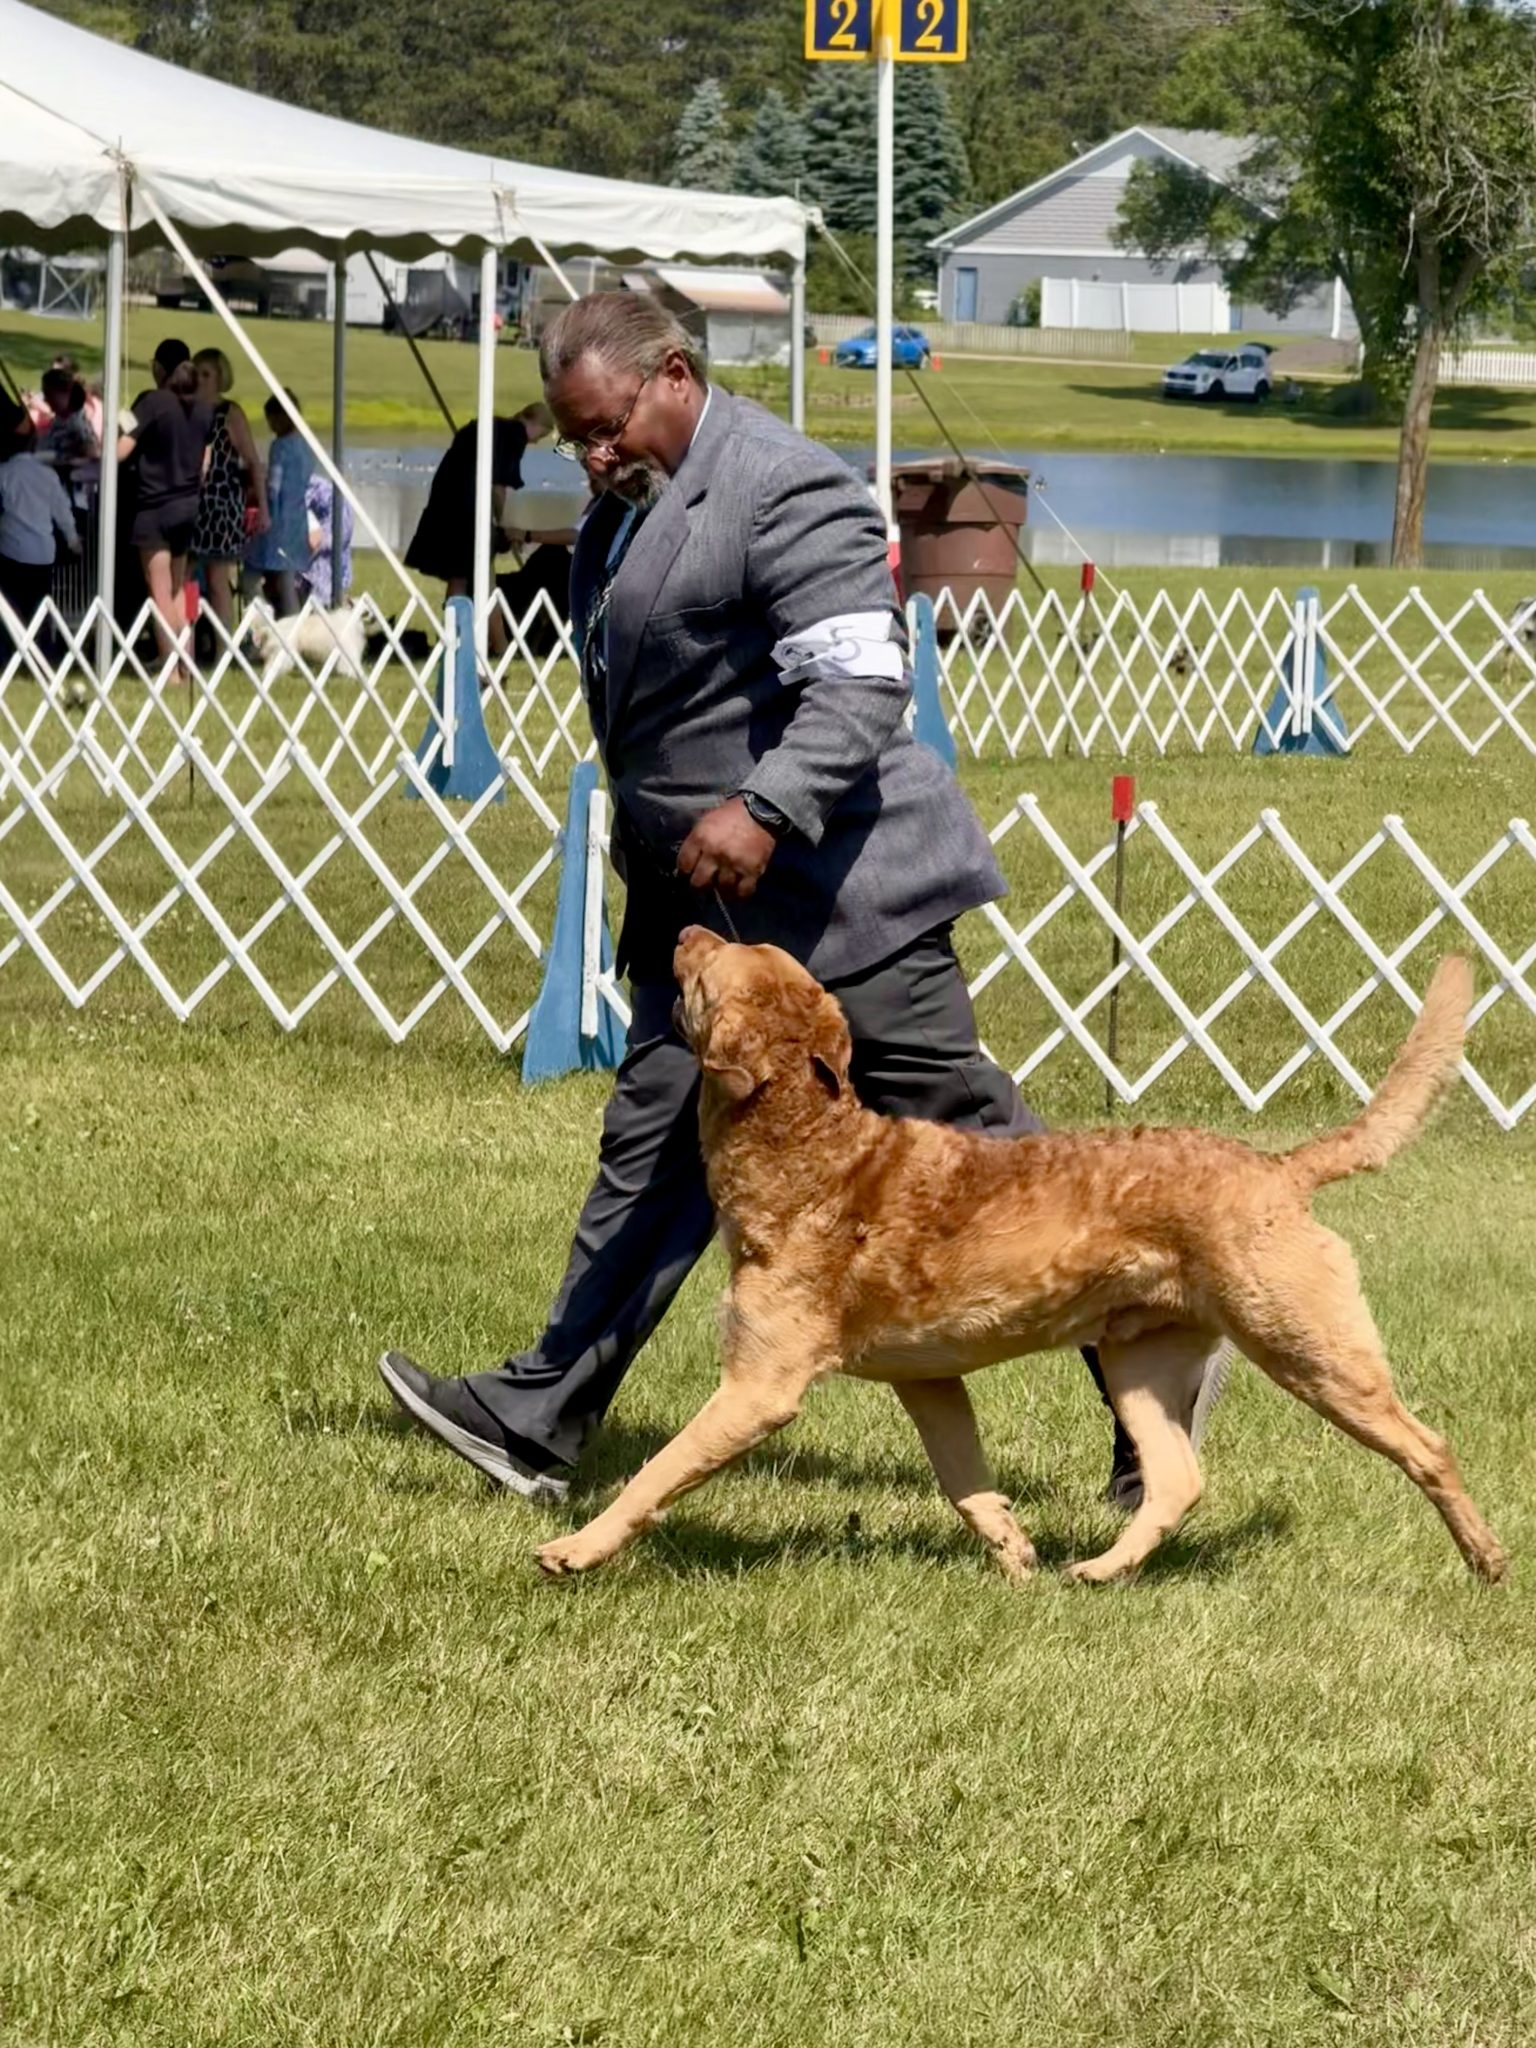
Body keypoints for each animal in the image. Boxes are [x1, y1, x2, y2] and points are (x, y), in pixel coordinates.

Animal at [536, 931, 1507, 1587]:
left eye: (715, 964)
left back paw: (1486, 1558)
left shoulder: (757, 1388)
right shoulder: (926, 1378)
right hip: (1138, 1360)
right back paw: (1101, 1571)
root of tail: (1279, 1168)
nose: (682, 929)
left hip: (1307, 1343)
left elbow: (657, 1474)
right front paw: (1014, 1554)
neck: (811, 1155)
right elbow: (964, 1479)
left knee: (1427, 1444)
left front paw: (573, 1549)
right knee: (1178, 1480)